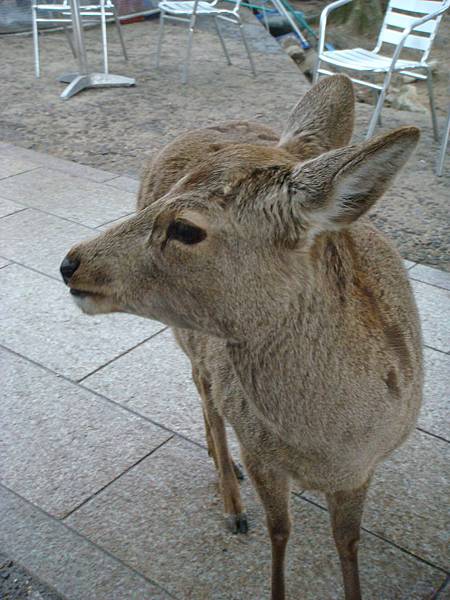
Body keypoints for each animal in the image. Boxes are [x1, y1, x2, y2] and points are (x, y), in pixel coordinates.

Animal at [59, 76, 422, 600]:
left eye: (185, 227)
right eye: (164, 202)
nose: (71, 262)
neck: (329, 446)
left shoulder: (363, 469)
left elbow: (349, 542)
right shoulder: (260, 449)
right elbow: (280, 531)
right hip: (189, 334)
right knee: (204, 392)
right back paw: (231, 497)